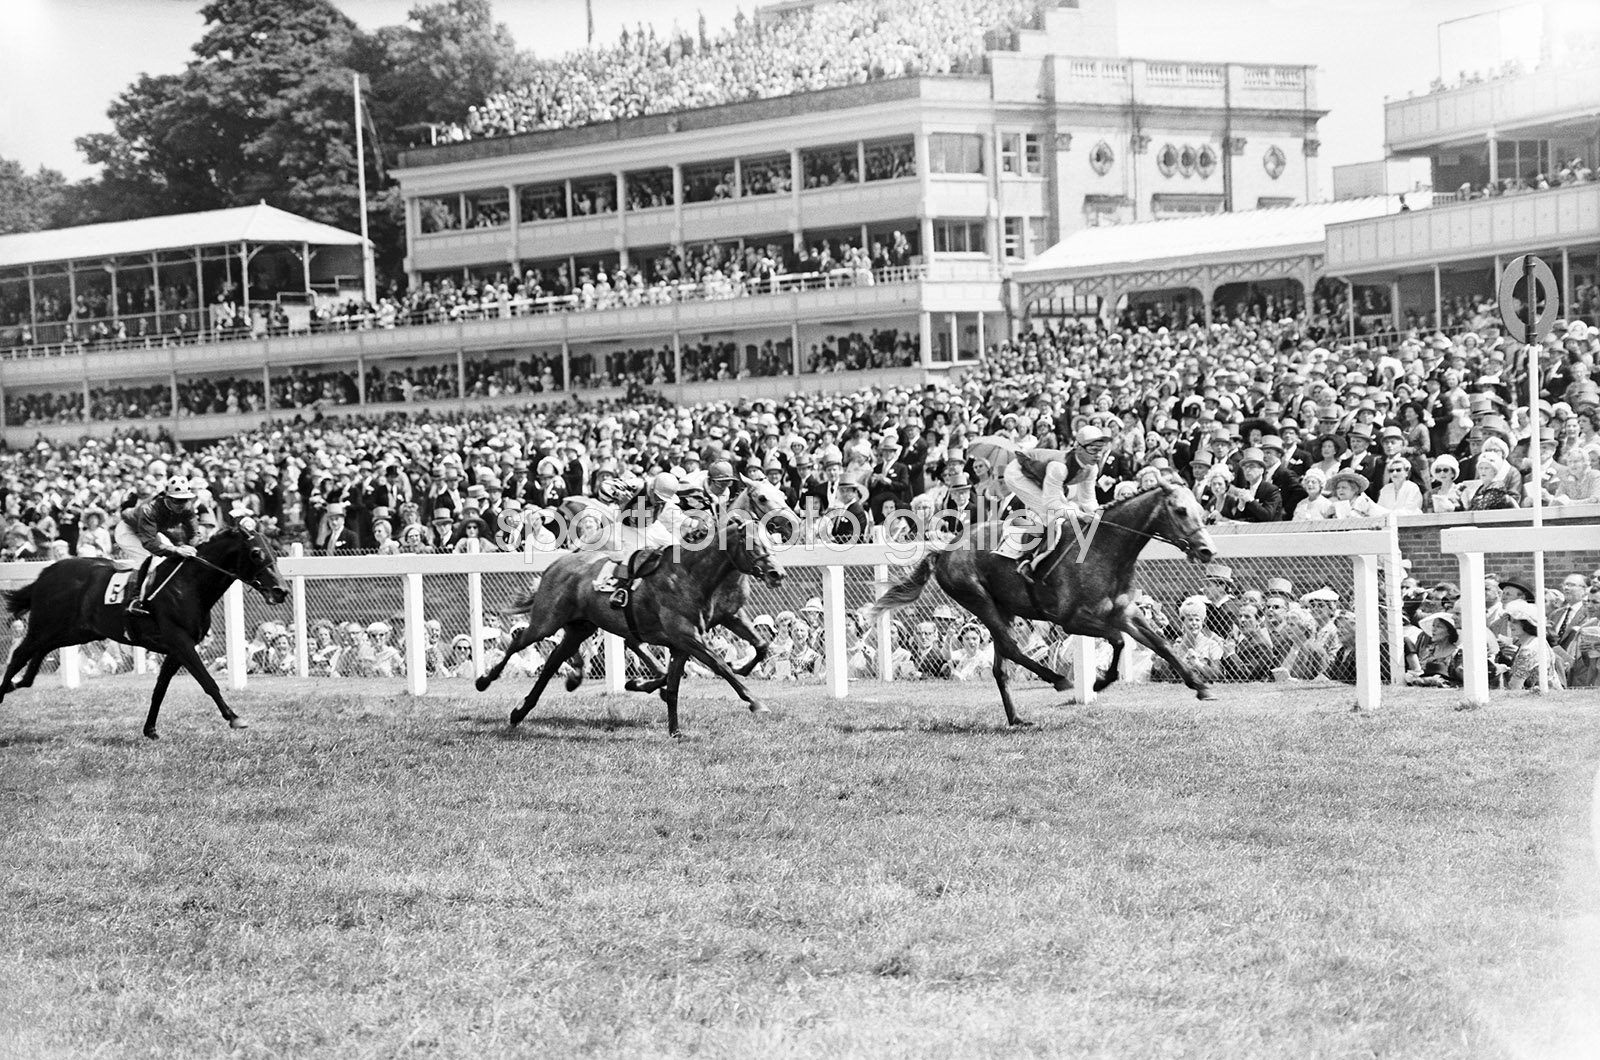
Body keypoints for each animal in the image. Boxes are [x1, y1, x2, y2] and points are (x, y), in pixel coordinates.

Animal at [1, 528, 288, 742]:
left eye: (274, 552)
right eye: (255, 553)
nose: (281, 590)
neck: (189, 586)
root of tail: (45, 573)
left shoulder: (176, 649)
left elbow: (159, 689)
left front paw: (150, 730)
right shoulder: (181, 642)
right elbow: (208, 682)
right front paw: (234, 717)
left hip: (75, 632)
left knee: (38, 654)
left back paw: (19, 682)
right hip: (44, 627)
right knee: (18, 655)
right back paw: (4, 691)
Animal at [473, 512, 787, 736]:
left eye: (772, 540)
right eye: (752, 544)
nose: (777, 573)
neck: (691, 575)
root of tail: (558, 563)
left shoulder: (690, 638)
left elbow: (677, 685)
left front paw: (674, 730)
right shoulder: (686, 636)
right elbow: (720, 666)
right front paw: (755, 702)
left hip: (580, 627)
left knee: (552, 662)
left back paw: (522, 710)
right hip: (547, 621)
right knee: (519, 642)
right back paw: (484, 680)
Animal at [870, 483, 1216, 726]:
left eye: (1201, 508)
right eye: (1180, 510)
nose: (1207, 550)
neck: (1105, 550)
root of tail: (943, 550)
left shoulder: (1125, 612)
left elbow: (1161, 644)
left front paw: (1199, 685)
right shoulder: (1072, 619)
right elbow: (1118, 641)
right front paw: (1099, 681)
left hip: (1003, 607)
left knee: (1000, 665)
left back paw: (1017, 718)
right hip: (979, 600)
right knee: (1011, 649)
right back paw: (1059, 680)